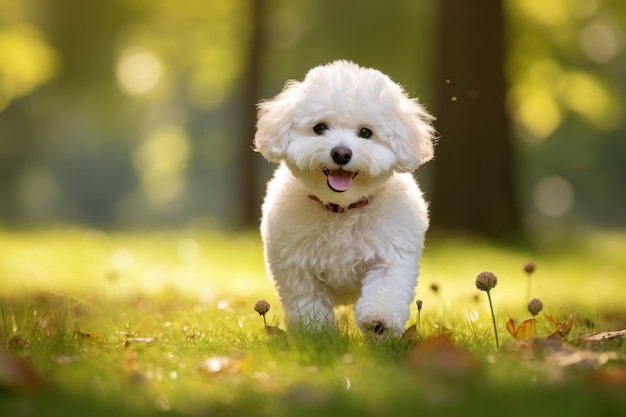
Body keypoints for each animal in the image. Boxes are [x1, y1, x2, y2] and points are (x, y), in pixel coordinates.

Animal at [254, 60, 434, 336]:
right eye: (319, 127)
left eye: (366, 132)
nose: (341, 153)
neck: (342, 208)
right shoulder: (296, 266)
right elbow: (308, 301)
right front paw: (316, 332)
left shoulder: (391, 255)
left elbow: (386, 288)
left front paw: (379, 321)